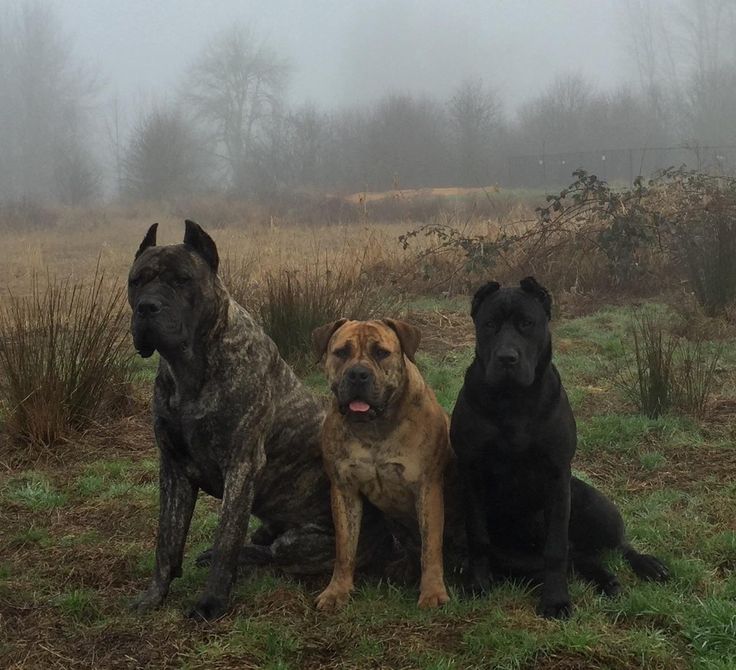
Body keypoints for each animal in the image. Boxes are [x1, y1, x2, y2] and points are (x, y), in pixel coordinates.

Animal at [128, 223, 392, 624]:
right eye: (136, 281)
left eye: (182, 280)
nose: (147, 306)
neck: (189, 369)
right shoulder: (172, 467)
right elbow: (167, 541)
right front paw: (153, 596)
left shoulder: (241, 465)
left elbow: (226, 539)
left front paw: (211, 603)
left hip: (302, 540)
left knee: (271, 556)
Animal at [448, 276, 668, 620]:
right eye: (489, 325)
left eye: (527, 323)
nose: (507, 358)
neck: (513, 401)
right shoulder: (472, 473)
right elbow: (478, 536)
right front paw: (478, 584)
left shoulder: (557, 475)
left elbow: (555, 548)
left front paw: (555, 600)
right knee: (579, 558)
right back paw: (608, 580)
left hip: (594, 504)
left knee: (612, 546)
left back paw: (647, 566)